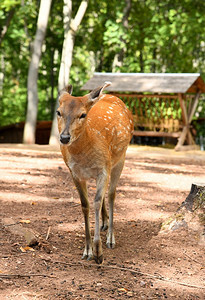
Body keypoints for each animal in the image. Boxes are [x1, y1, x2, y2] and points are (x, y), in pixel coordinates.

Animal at [56, 81, 134, 262]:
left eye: (83, 114)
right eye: (58, 112)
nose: (64, 138)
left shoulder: (104, 168)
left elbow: (96, 201)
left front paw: (98, 252)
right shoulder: (75, 172)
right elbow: (85, 204)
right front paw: (88, 250)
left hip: (120, 158)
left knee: (111, 194)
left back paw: (111, 237)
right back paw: (104, 223)